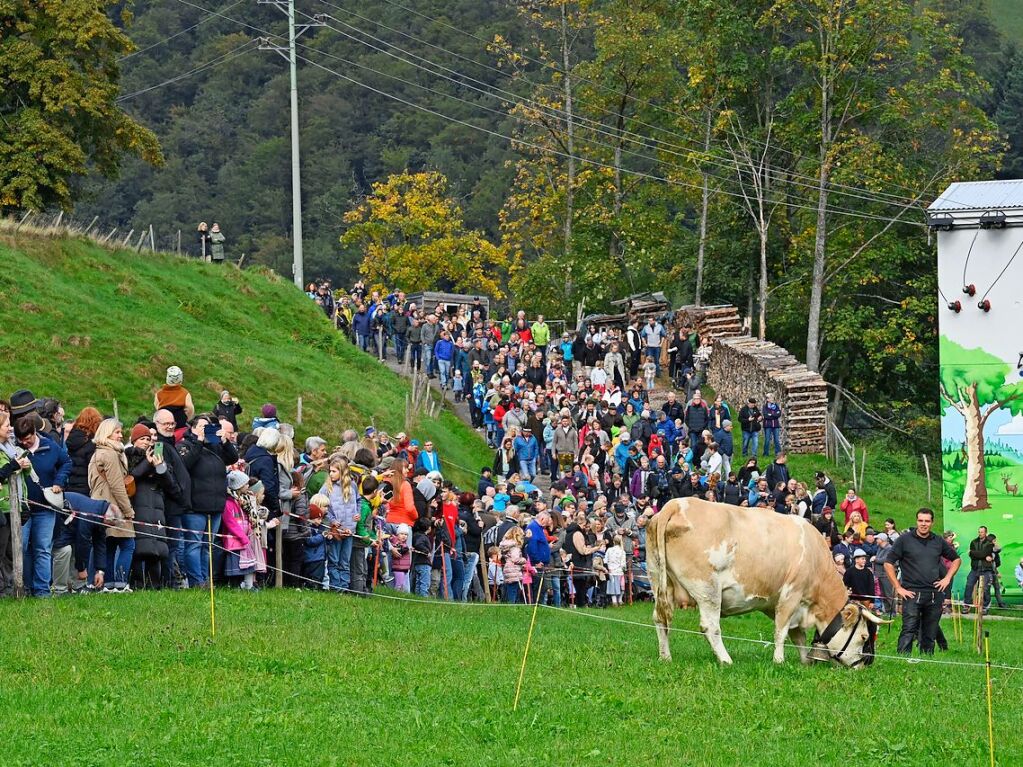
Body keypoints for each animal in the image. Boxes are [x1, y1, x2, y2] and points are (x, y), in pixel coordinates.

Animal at [646, 499, 887, 666]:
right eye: (864, 636)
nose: (865, 664)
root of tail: (675, 504)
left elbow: (798, 636)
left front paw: (805, 662)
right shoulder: (791, 594)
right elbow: (781, 631)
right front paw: (779, 661)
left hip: (659, 581)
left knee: (660, 619)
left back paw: (665, 657)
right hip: (707, 588)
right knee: (710, 626)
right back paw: (726, 660)